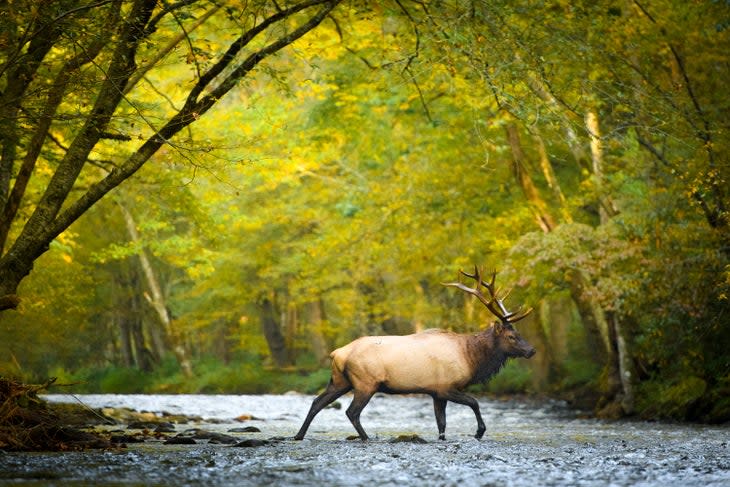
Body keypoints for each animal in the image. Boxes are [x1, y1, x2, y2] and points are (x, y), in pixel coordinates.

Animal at [292, 266, 536, 442]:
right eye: (511, 336)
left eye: (519, 332)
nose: (532, 350)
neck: (471, 358)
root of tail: (337, 353)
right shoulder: (446, 386)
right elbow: (474, 402)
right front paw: (479, 432)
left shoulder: (436, 392)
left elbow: (441, 423)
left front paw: (443, 439)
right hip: (365, 383)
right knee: (352, 411)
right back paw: (366, 437)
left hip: (339, 381)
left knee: (317, 402)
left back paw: (298, 435)